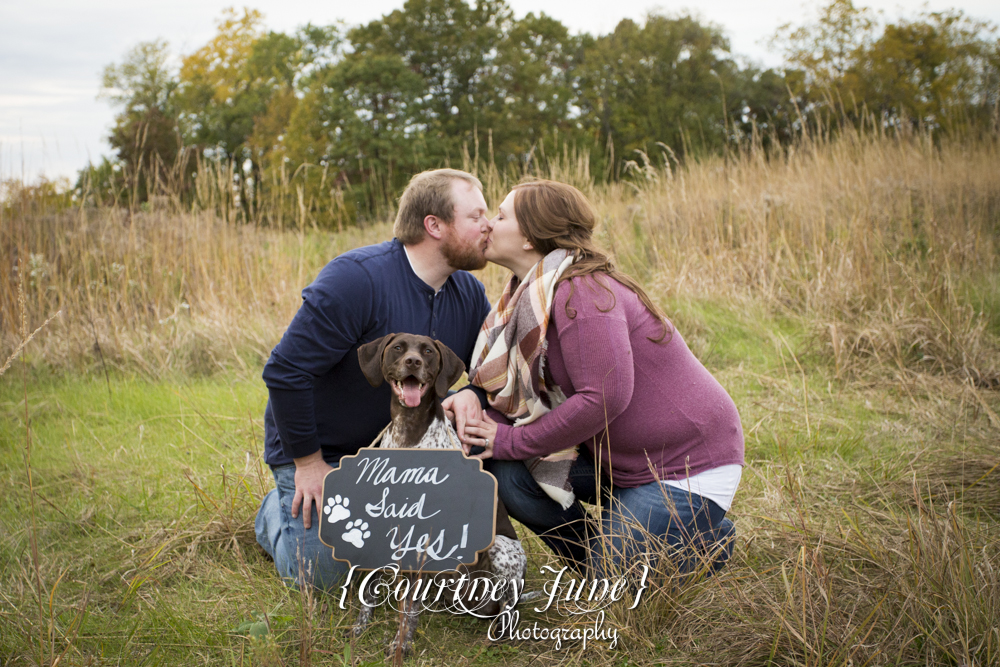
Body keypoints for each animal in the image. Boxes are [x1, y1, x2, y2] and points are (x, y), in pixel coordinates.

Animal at [354, 334, 528, 656]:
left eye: (427, 351)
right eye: (398, 348)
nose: (413, 362)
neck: (408, 432)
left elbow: (409, 606)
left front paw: (401, 644)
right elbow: (373, 587)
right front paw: (361, 625)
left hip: (501, 549)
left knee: (508, 610)